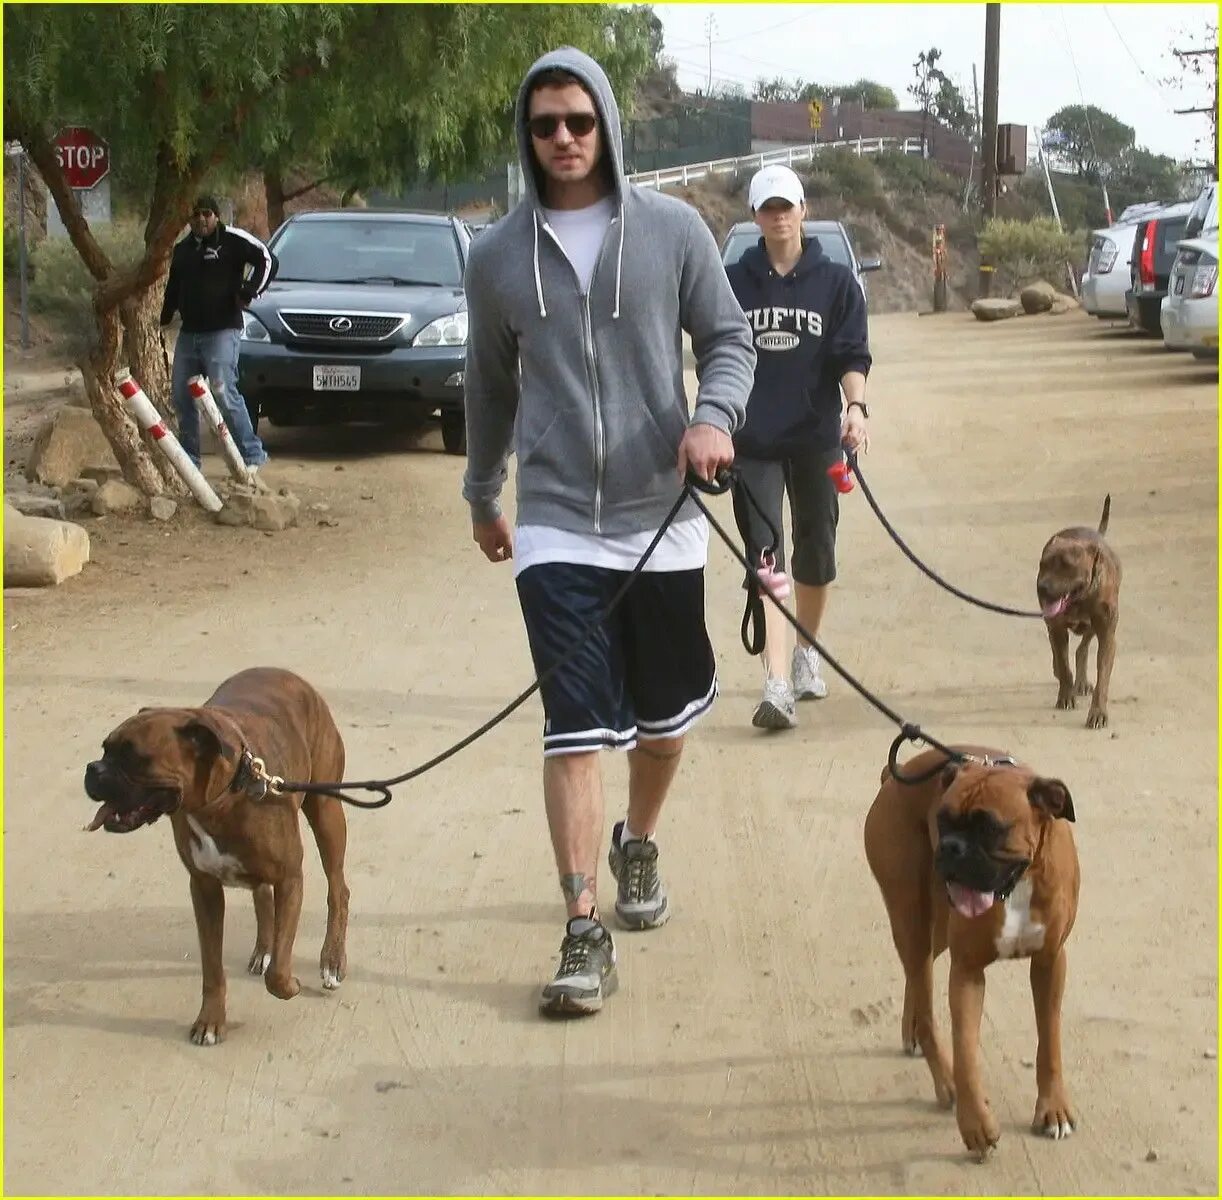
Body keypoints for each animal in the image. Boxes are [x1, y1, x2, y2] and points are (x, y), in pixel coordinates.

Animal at [82, 669, 349, 1046]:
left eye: (135, 758)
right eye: (104, 749)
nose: (93, 769)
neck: (221, 799)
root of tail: (290, 675)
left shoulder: (290, 879)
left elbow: (278, 973)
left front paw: (291, 985)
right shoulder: (204, 890)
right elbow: (212, 969)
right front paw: (210, 1020)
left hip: (326, 813)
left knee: (338, 889)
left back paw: (332, 959)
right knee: (262, 895)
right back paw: (264, 948)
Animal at [860, 747, 1080, 1158]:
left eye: (990, 827)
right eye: (942, 820)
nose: (950, 846)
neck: (1019, 883)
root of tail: (892, 777)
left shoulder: (1050, 961)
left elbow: (1050, 1041)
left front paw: (1053, 1109)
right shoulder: (967, 972)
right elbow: (965, 1051)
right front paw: (976, 1125)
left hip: (934, 930)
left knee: (919, 975)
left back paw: (910, 1030)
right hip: (910, 917)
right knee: (926, 1002)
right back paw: (941, 1075)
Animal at [1036, 493, 1119, 728]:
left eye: (1066, 565)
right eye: (1043, 564)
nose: (1042, 587)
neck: (1081, 598)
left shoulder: (1107, 635)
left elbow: (1103, 678)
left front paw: (1098, 712)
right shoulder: (1057, 628)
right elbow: (1063, 665)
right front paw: (1065, 695)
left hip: (1092, 627)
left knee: (1082, 649)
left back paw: (1080, 681)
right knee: (1061, 653)